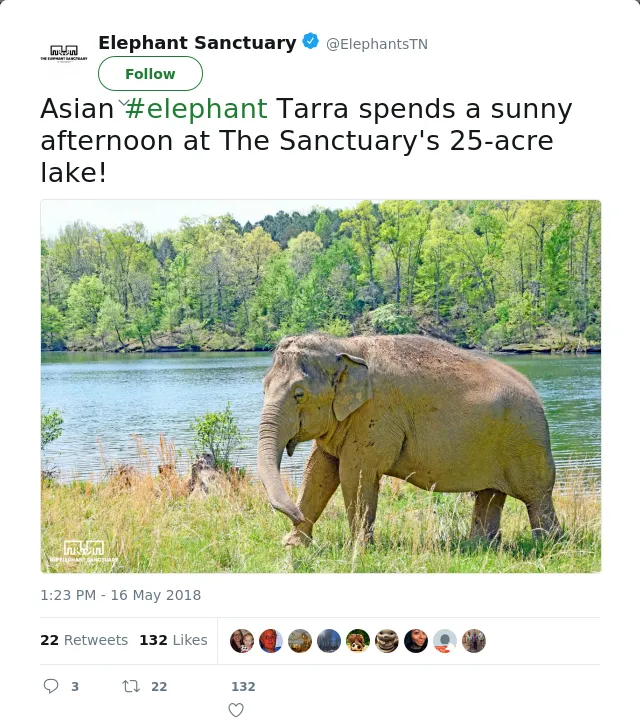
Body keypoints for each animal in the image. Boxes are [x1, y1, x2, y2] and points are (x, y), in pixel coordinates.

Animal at [257, 334, 559, 547]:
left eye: (299, 395)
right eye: (264, 387)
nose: (294, 514)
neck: (346, 345)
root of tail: (537, 396)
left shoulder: (376, 417)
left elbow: (355, 474)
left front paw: (358, 550)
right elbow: (319, 470)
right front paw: (293, 545)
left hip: (526, 441)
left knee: (536, 495)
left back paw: (548, 545)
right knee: (490, 494)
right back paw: (481, 546)